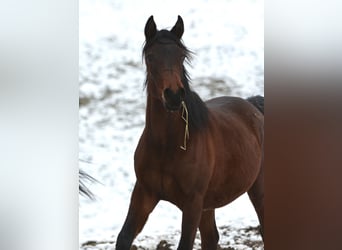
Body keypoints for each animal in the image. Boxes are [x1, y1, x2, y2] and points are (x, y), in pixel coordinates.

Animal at [116, 16, 264, 250]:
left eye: (182, 56)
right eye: (150, 57)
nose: (174, 95)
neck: (167, 146)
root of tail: (254, 106)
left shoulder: (193, 203)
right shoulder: (144, 193)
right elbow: (123, 237)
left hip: (258, 189)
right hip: (209, 205)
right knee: (211, 238)